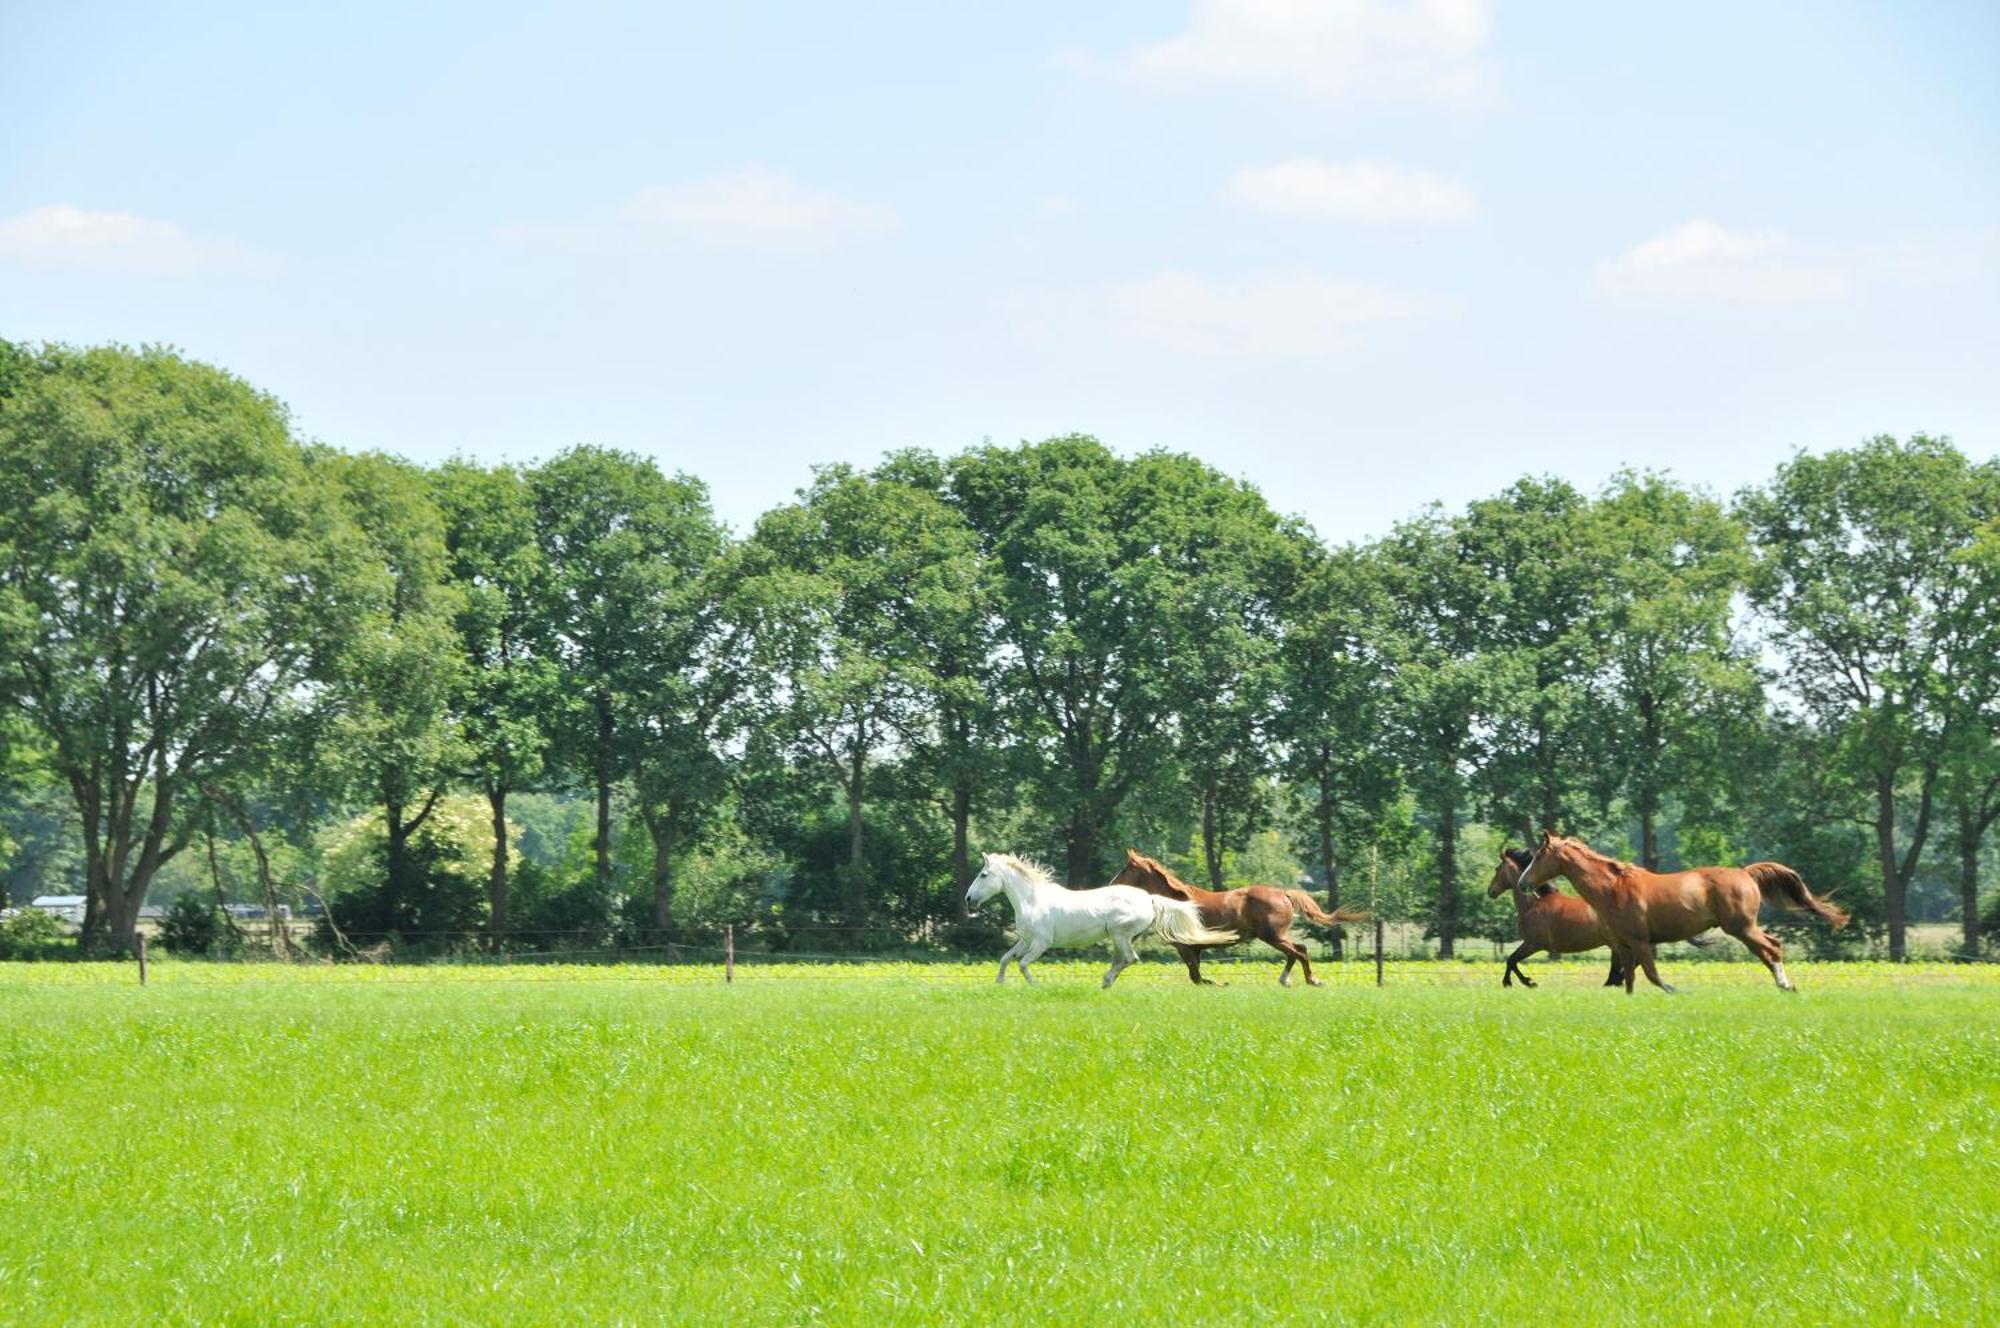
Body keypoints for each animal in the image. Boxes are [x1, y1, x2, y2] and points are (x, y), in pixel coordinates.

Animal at [964, 852, 1240, 984]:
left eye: (983, 874)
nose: (968, 899)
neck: (1032, 900)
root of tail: (1149, 898)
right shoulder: (1024, 941)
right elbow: (1005, 959)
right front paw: (999, 984)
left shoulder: (1041, 943)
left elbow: (1022, 965)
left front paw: (1035, 986)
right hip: (1120, 938)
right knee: (1123, 959)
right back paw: (1107, 982)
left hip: (1120, 934)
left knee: (1130, 958)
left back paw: (1106, 981)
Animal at [1104, 852, 1368, 984]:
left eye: (1126, 869)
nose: (1111, 884)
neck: (1175, 903)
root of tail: (1283, 893)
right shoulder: (1194, 949)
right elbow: (1196, 976)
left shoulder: (1185, 948)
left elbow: (1196, 977)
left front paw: (1220, 984)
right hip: (1275, 936)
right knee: (1296, 951)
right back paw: (1287, 980)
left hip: (1273, 936)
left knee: (1299, 951)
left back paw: (1311, 980)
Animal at [1488, 852, 1624, 984]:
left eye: (1497, 869)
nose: (1490, 891)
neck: (1533, 903)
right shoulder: (1531, 944)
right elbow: (1511, 960)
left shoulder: (1532, 944)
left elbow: (1511, 960)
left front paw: (1521, 982)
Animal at [1520, 832, 1848, 996]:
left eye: (1539, 855)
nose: (1523, 882)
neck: (1612, 888)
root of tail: (1746, 873)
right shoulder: (1624, 944)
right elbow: (1629, 980)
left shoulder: (1640, 942)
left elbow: (1652, 975)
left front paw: (1676, 992)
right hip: (1744, 929)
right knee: (1769, 949)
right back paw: (1785, 986)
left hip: (1741, 927)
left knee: (1773, 948)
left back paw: (1786, 985)